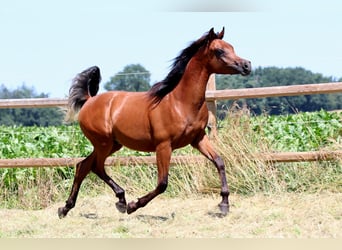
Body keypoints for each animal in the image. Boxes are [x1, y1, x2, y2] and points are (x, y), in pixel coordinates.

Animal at [58, 27, 251, 219]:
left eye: (232, 47)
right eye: (219, 51)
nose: (247, 65)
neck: (180, 102)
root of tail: (89, 100)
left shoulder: (198, 139)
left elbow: (219, 162)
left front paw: (224, 204)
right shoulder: (163, 145)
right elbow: (162, 183)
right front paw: (134, 206)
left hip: (112, 144)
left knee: (84, 166)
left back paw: (67, 208)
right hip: (103, 143)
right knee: (95, 167)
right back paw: (121, 201)